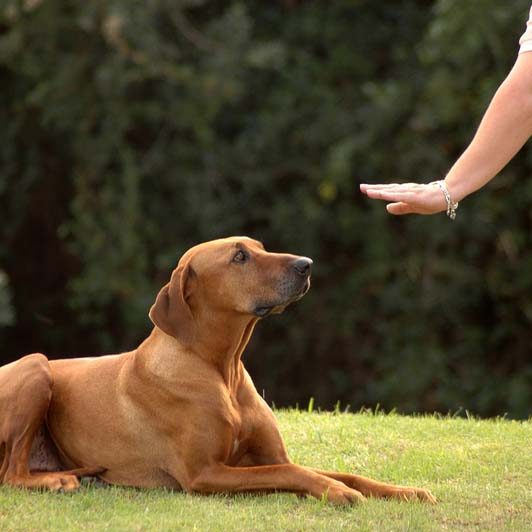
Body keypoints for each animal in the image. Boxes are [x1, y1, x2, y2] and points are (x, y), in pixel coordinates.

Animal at [0, 237, 436, 502]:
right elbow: (292, 472)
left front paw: (405, 491)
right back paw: (56, 479)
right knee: (11, 473)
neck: (222, 370)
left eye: (260, 247)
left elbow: (342, 473)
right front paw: (333, 491)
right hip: (36, 366)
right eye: (239, 256)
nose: (307, 264)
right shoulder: (205, 474)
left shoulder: (266, 456)